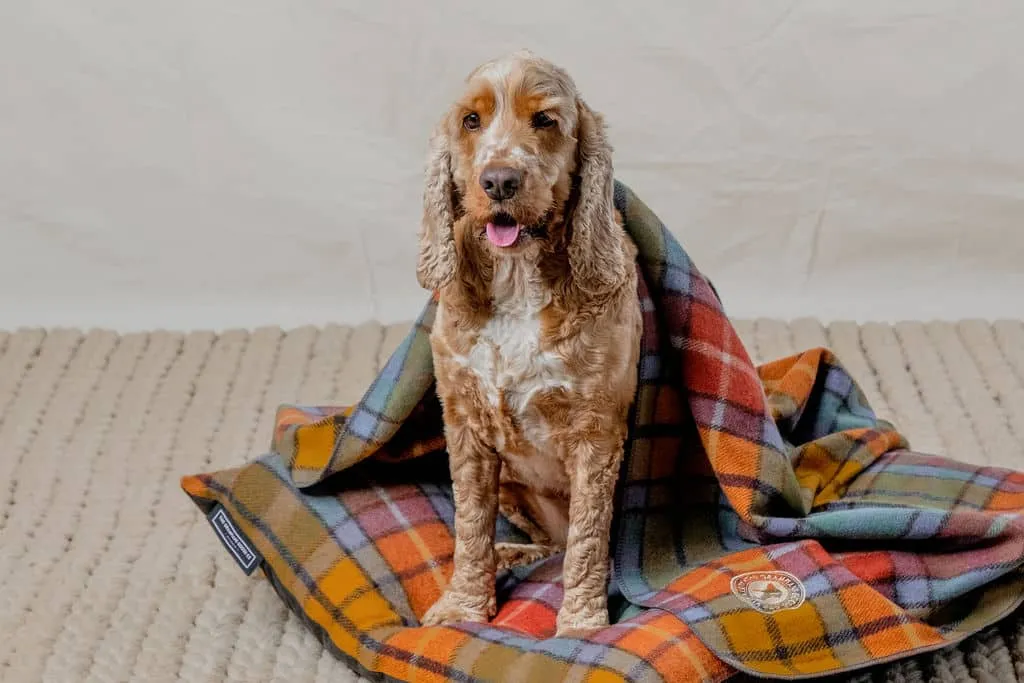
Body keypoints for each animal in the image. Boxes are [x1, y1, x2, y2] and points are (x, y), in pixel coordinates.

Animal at [415, 50, 638, 638]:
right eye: (471, 120)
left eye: (546, 121)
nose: (498, 181)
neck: (517, 278)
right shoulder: (464, 423)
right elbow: (470, 524)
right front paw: (463, 607)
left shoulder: (596, 432)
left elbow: (588, 537)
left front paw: (581, 624)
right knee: (542, 544)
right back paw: (511, 555)